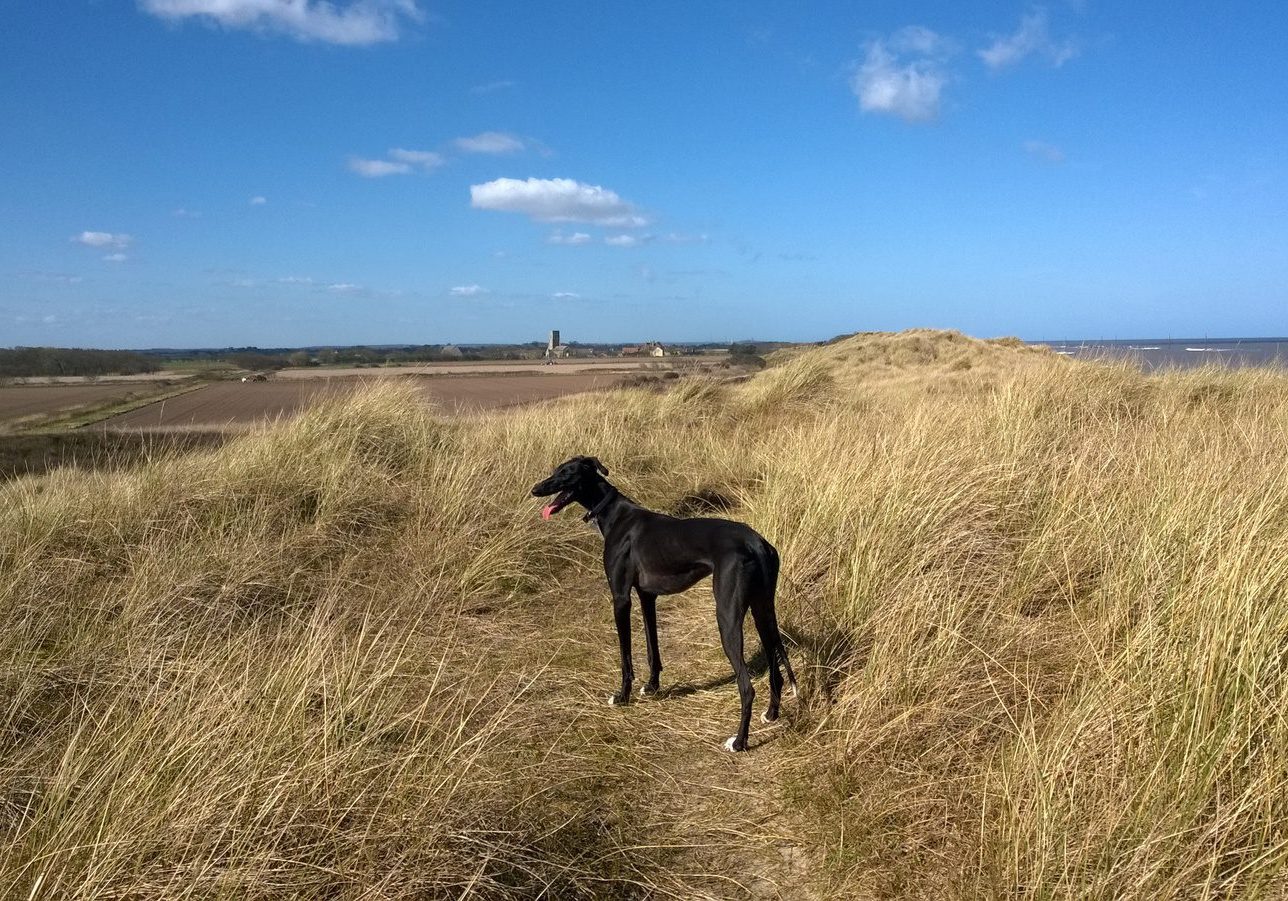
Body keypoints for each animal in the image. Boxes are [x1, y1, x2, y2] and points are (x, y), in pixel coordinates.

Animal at [525, 453, 788, 751]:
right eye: (555, 470)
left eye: (567, 473)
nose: (535, 489)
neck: (613, 514)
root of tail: (757, 542)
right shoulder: (647, 596)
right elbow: (653, 647)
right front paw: (652, 686)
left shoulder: (620, 598)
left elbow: (626, 655)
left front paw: (623, 695)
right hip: (762, 609)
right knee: (776, 668)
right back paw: (771, 714)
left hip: (727, 616)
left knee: (746, 686)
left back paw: (740, 741)